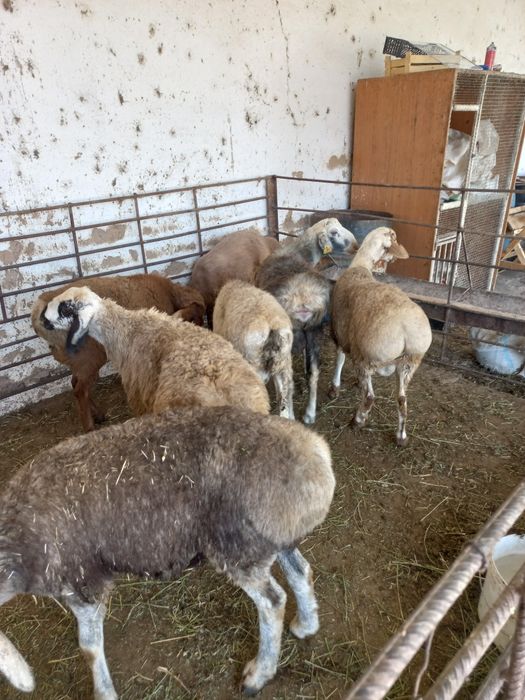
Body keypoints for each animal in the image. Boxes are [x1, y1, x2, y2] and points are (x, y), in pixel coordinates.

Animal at [0, 405, 335, 697]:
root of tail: (316, 460)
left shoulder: (83, 581)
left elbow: (89, 647)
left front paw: (103, 692)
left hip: (238, 546)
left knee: (273, 601)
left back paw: (259, 674)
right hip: (270, 538)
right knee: (301, 571)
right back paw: (306, 625)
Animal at [31, 273, 205, 431]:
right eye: (194, 317)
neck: (168, 293)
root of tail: (40, 309)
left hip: (78, 361)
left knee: (75, 384)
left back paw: (98, 415)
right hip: (90, 357)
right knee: (80, 390)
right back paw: (90, 427)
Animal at [256, 218, 358, 424]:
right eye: (334, 232)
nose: (355, 246)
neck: (297, 251)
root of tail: (302, 299)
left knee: (287, 380)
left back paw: (290, 415)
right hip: (314, 330)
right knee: (314, 373)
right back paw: (309, 414)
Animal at [330, 227, 432, 446]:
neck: (361, 266)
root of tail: (405, 330)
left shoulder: (340, 333)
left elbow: (339, 359)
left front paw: (334, 388)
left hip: (367, 358)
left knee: (369, 397)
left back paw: (357, 421)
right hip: (409, 363)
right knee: (402, 400)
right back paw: (401, 436)